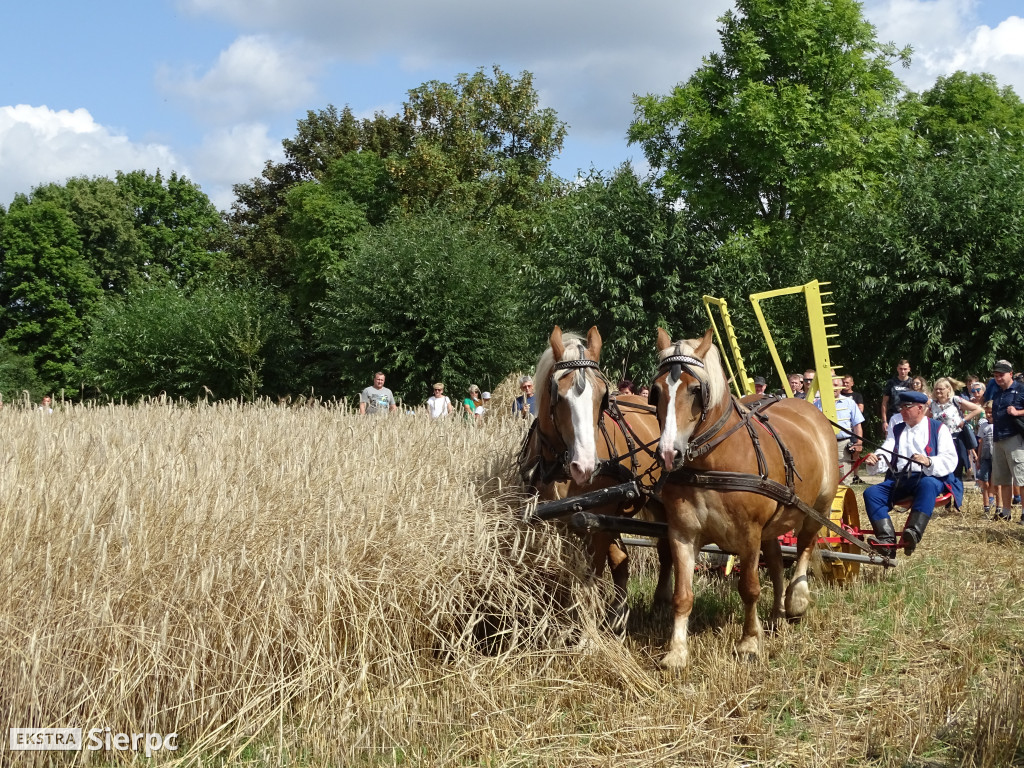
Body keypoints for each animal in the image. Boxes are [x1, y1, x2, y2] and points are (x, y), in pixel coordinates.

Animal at [520, 325, 671, 630]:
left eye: (602, 396)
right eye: (558, 395)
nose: (586, 466)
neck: (558, 468)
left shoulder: (595, 524)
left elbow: (590, 575)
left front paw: (585, 631)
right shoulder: (546, 523)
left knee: (665, 549)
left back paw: (659, 605)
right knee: (625, 557)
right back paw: (620, 614)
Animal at [651, 327, 835, 671]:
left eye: (695, 390)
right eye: (656, 391)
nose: (669, 453)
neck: (709, 464)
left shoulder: (749, 533)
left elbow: (749, 588)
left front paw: (749, 642)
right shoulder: (682, 532)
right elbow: (682, 595)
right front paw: (677, 651)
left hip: (818, 506)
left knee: (804, 546)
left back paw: (796, 600)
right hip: (774, 524)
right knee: (776, 563)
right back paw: (777, 615)